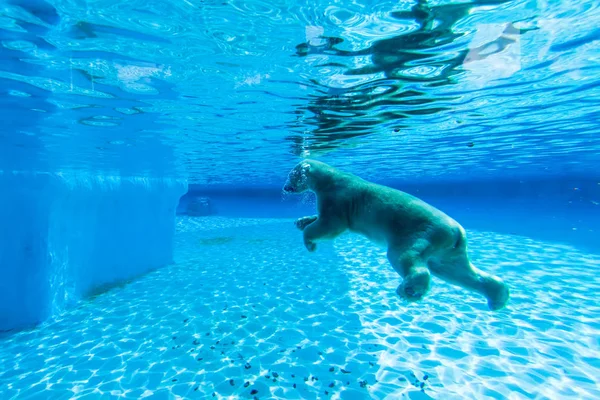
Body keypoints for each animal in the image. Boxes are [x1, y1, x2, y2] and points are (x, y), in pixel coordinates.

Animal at [284, 159, 508, 310]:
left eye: (290, 175)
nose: (285, 187)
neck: (330, 178)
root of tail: (457, 231)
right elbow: (322, 221)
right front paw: (301, 221)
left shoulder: (338, 199)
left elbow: (331, 225)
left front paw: (309, 242)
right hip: (449, 249)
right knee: (454, 270)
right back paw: (498, 296)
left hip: (418, 232)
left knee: (406, 257)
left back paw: (409, 290)